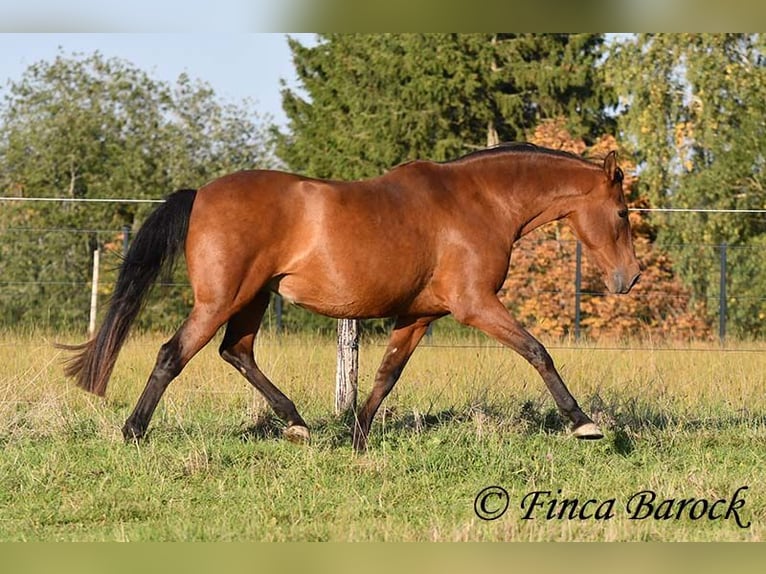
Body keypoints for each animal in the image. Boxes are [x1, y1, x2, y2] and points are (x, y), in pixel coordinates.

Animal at [60, 143, 640, 451]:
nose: (629, 278)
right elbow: (538, 351)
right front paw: (584, 423)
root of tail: (200, 194)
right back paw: (134, 431)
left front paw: (357, 437)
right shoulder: (475, 304)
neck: (479, 202)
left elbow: (386, 374)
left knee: (236, 352)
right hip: (220, 300)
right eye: (622, 213)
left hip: (251, 300)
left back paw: (297, 423)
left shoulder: (419, 314)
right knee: (173, 354)